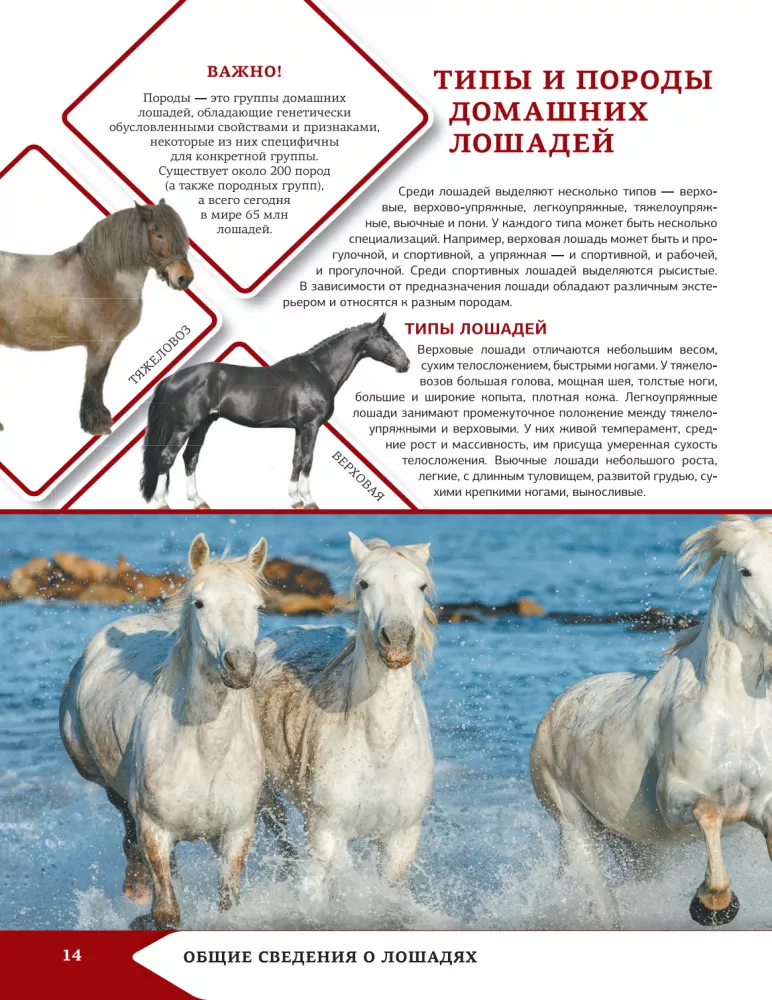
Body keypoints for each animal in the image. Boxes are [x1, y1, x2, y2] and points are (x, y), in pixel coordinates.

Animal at [0, 199, 192, 436]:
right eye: (159, 235)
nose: (185, 278)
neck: (102, 277)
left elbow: (99, 379)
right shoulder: (102, 343)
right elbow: (95, 379)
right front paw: (97, 424)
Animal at [59, 532, 267, 929]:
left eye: (259, 607)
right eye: (200, 603)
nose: (240, 666)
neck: (205, 752)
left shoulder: (237, 834)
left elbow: (228, 903)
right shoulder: (154, 829)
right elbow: (167, 912)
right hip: (100, 778)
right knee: (126, 823)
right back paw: (136, 887)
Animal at [139, 313, 409, 510]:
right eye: (386, 337)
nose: (406, 363)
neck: (318, 371)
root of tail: (173, 377)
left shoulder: (300, 427)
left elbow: (297, 459)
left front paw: (295, 499)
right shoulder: (311, 425)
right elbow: (308, 460)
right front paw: (309, 501)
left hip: (203, 424)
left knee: (190, 457)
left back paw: (198, 501)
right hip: (184, 427)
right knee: (168, 456)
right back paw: (162, 503)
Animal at [252, 533, 436, 895]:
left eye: (421, 585)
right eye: (364, 583)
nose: (397, 640)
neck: (381, 747)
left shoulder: (401, 842)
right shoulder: (328, 832)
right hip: (266, 798)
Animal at [530, 515, 772, 928]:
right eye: (746, 571)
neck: (736, 716)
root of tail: (558, 707)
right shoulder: (673, 797)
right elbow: (709, 811)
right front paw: (712, 903)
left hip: (641, 847)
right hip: (575, 827)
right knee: (603, 904)